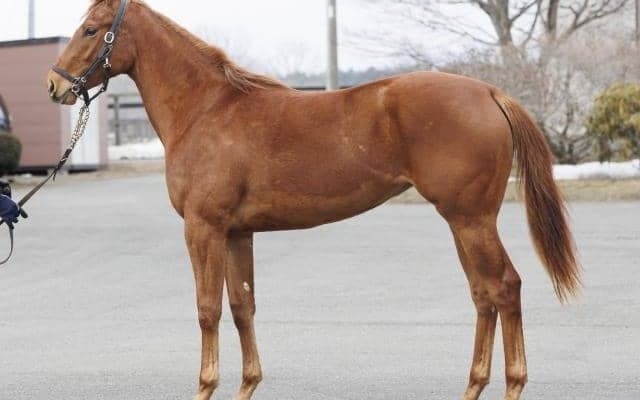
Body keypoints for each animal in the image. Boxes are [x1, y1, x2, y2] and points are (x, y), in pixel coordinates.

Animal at [46, 1, 580, 399]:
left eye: (91, 29)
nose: (54, 86)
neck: (207, 111)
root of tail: (490, 92)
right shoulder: (238, 232)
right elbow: (242, 306)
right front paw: (248, 383)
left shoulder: (203, 228)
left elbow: (207, 308)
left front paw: (205, 385)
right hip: (461, 222)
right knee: (483, 294)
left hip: (472, 220)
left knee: (504, 288)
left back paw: (511, 384)